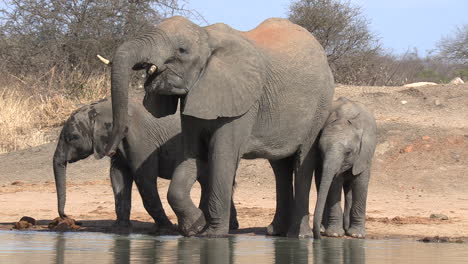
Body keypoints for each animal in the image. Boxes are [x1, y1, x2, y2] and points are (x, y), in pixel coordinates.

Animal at [52, 98, 238, 230]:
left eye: (72, 138)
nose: (69, 218)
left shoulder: (141, 140)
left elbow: (145, 179)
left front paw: (167, 228)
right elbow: (118, 176)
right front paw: (120, 228)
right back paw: (230, 226)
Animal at [104, 16, 334, 237]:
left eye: (182, 50)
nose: (111, 150)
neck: (207, 36)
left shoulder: (242, 103)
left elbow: (221, 156)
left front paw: (213, 234)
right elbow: (192, 155)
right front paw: (195, 228)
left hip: (319, 107)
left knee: (302, 163)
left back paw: (299, 236)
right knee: (280, 167)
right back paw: (275, 233)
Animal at [312, 97, 378, 239]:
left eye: (348, 152)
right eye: (320, 150)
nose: (318, 238)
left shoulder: (365, 152)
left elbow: (360, 183)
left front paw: (357, 235)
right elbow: (334, 184)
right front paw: (335, 234)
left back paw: (345, 228)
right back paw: (325, 228)